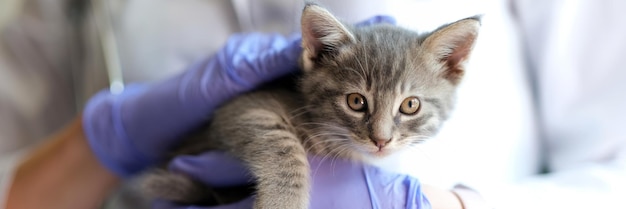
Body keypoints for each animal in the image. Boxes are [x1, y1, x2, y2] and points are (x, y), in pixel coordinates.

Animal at [144, 3, 480, 209]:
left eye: (410, 105)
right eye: (356, 101)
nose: (381, 140)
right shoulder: (243, 107)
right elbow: (281, 146)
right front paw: (281, 203)